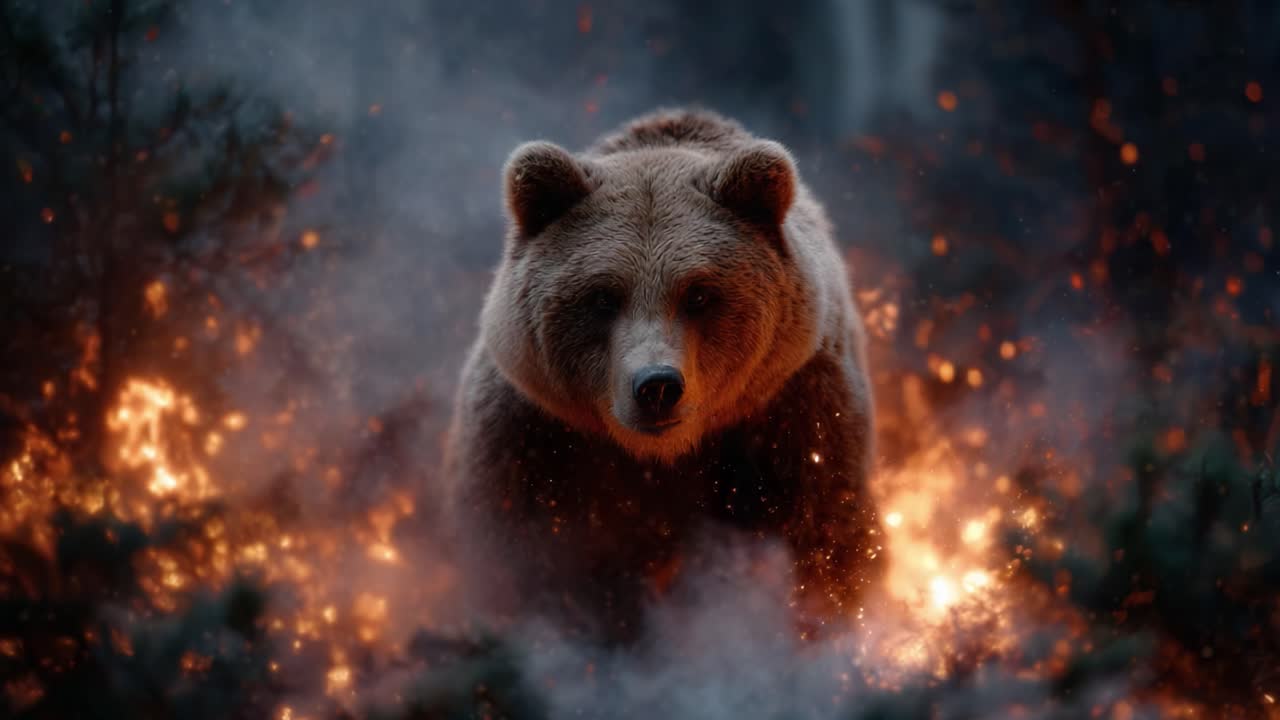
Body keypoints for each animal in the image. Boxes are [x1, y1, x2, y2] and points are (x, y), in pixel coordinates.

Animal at [443, 109, 883, 641]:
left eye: (699, 294)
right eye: (602, 296)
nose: (656, 386)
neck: (660, 455)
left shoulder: (794, 415)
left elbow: (825, 535)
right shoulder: (532, 436)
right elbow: (513, 546)